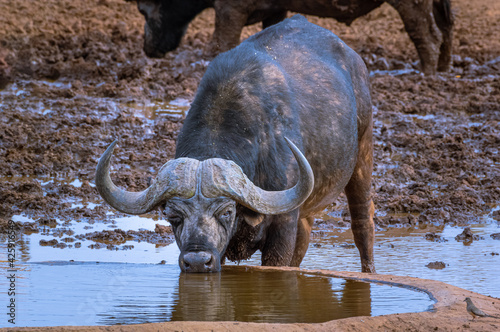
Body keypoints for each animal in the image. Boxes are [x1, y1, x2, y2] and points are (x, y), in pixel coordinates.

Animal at [94, 15, 376, 274]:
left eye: (226, 212)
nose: (198, 261)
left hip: (363, 152)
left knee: (363, 221)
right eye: (173, 216)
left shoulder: (283, 226)